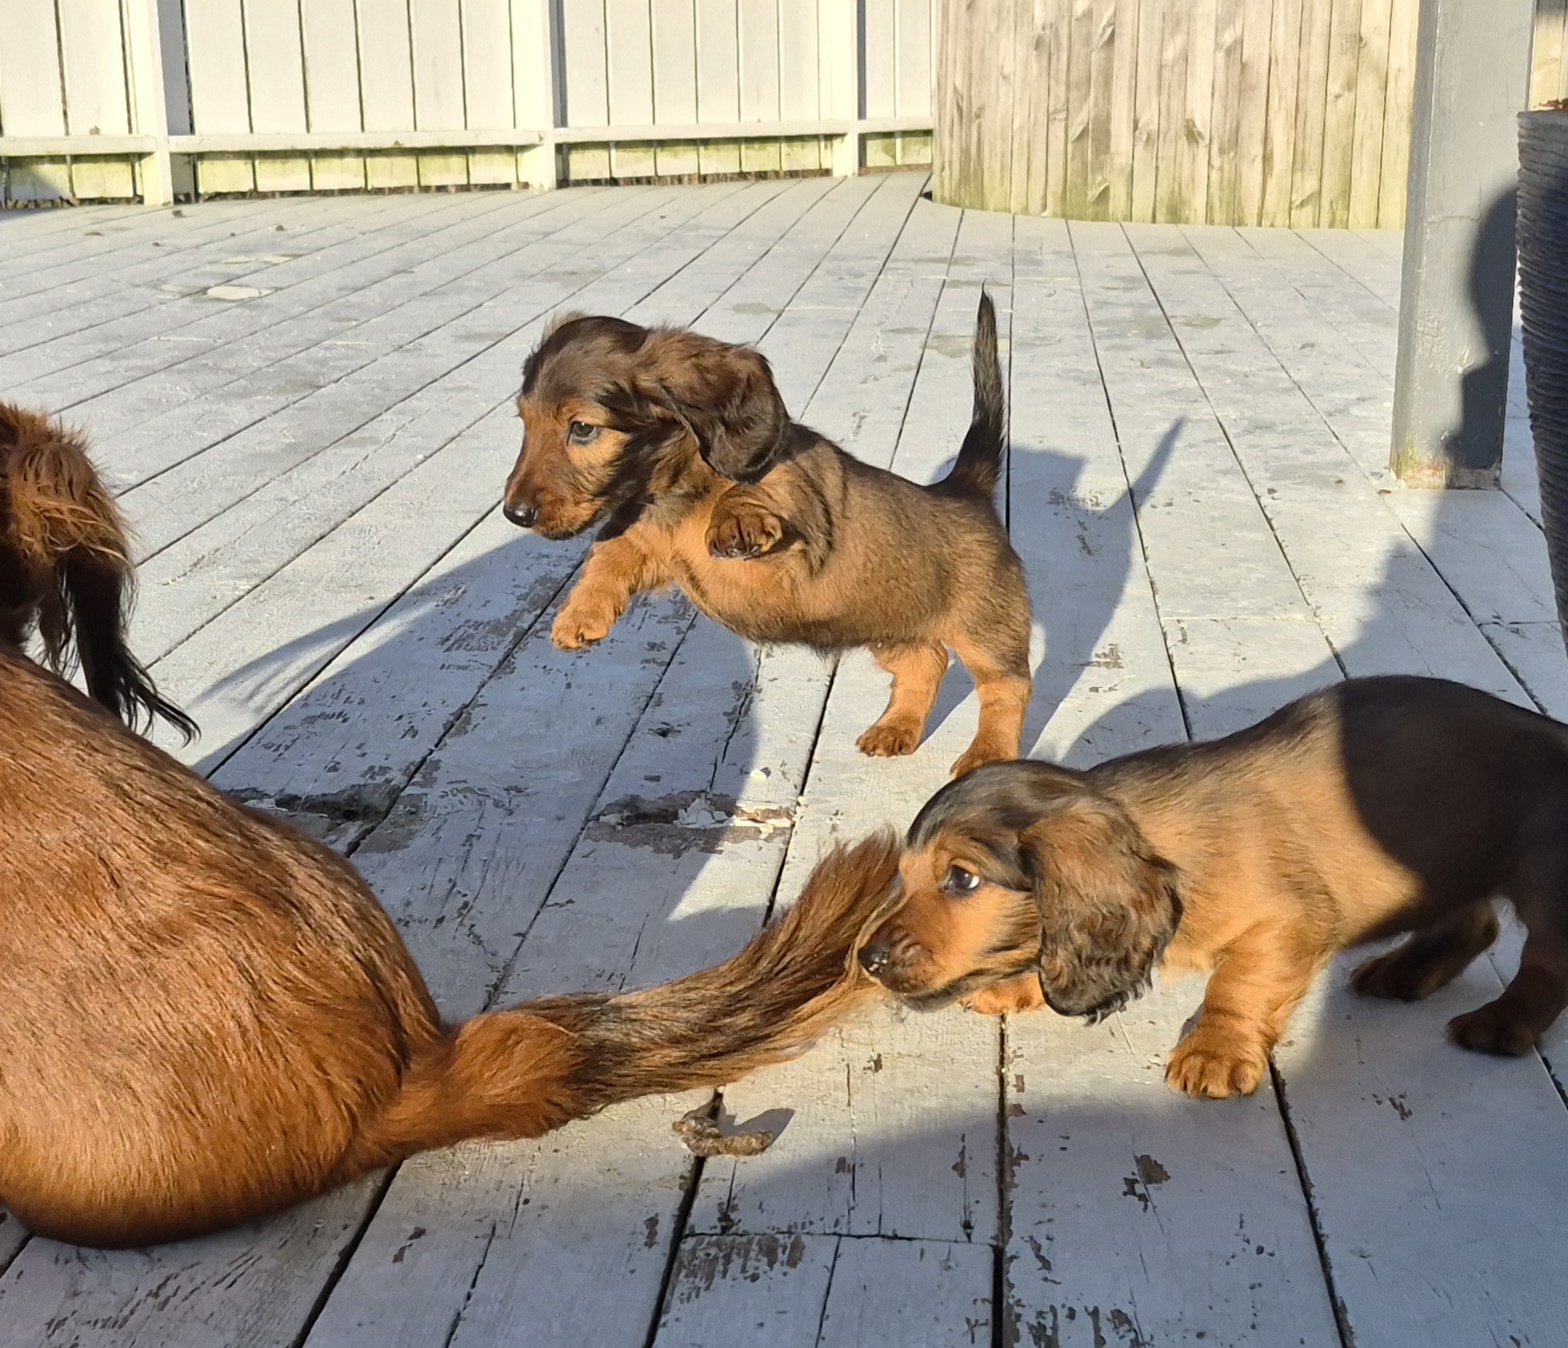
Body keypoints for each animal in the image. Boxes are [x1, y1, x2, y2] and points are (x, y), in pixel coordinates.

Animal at [501, 292, 1033, 777]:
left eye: (582, 428)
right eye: (524, 422)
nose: (515, 514)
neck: (674, 493)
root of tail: (966, 490)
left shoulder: (794, 555)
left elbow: (748, 494)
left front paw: (736, 515)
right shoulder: (652, 545)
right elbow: (611, 550)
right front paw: (580, 612)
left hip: (984, 628)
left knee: (1007, 686)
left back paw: (987, 755)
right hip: (887, 624)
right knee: (927, 663)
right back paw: (895, 728)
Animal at [856, 675, 1568, 1099]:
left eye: (961, 877)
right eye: (905, 875)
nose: (867, 959)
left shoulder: (1287, 922)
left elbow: (1239, 985)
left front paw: (1214, 1053)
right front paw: (1019, 982)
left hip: (1546, 880)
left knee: (1543, 963)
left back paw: (1500, 1023)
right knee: (1475, 921)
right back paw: (1404, 972)